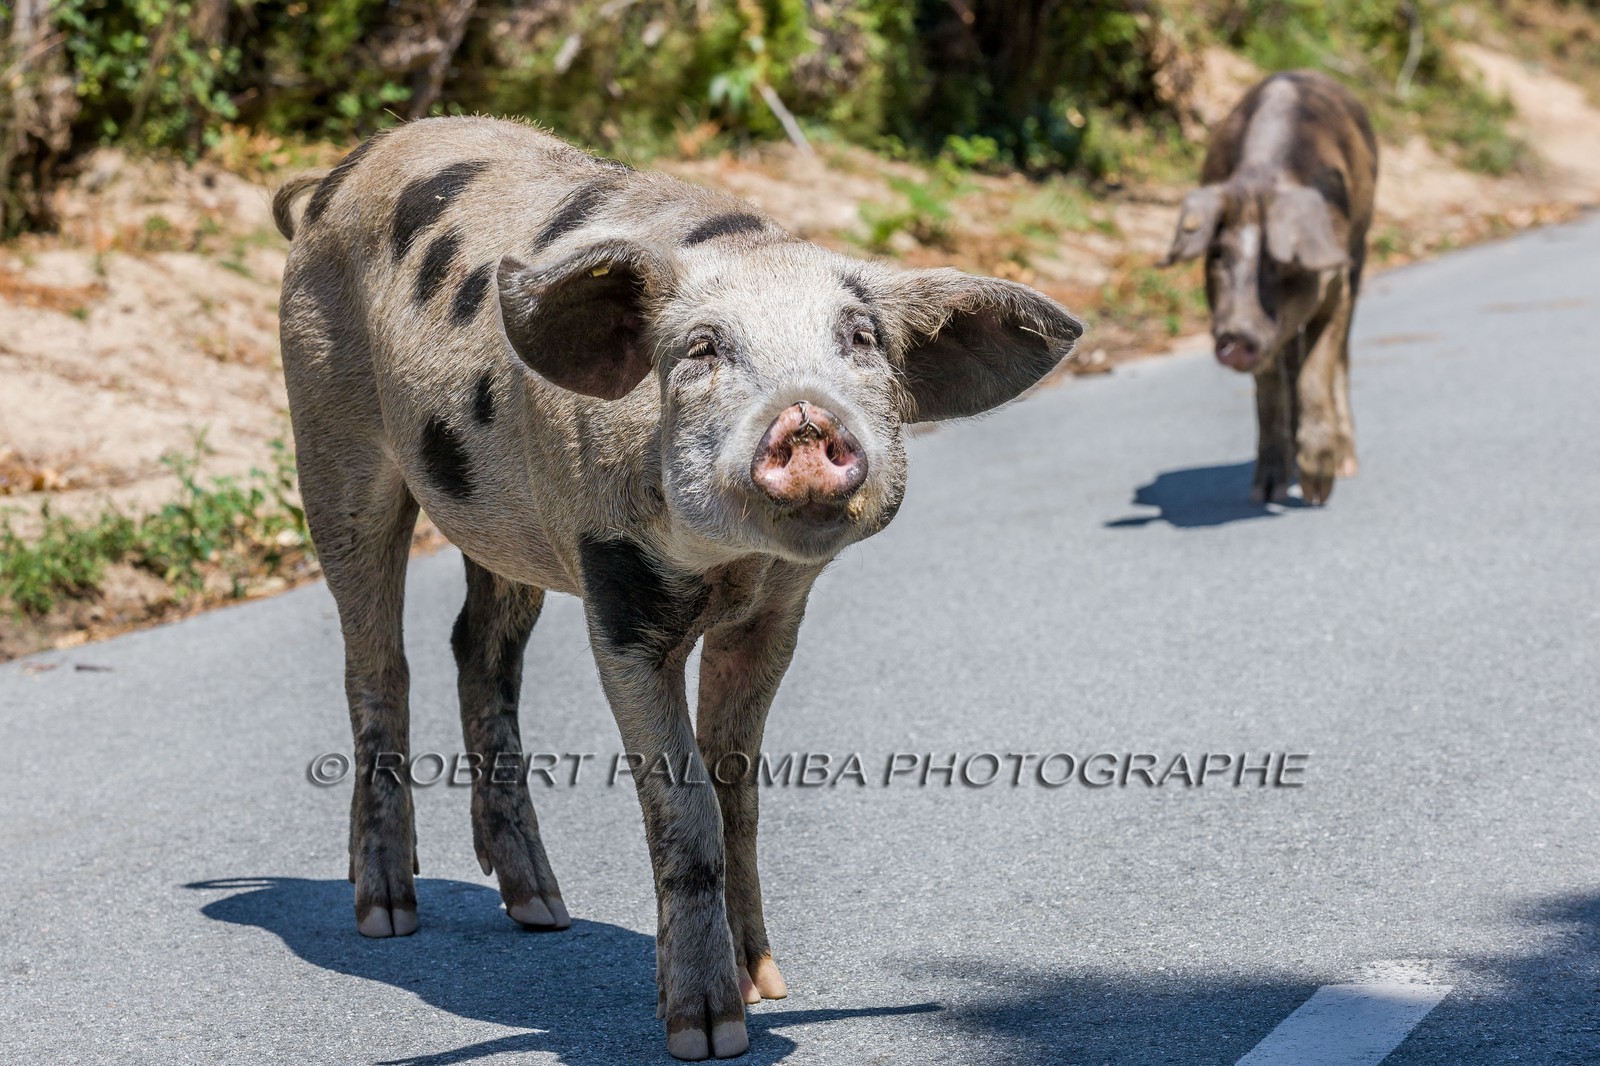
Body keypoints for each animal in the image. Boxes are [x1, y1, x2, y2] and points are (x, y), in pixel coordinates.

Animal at [272, 116, 1081, 1060]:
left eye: (859, 339)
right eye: (701, 348)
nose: (805, 419)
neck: (727, 562)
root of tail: (332, 181)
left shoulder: (775, 613)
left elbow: (739, 795)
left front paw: (767, 986)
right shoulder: (616, 598)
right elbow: (683, 805)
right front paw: (708, 1032)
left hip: (505, 525)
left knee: (479, 650)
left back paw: (541, 910)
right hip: (330, 437)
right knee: (377, 662)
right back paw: (387, 914)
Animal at [1161, 70, 1377, 505]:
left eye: (1278, 263)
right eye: (1218, 256)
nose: (1234, 336)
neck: (1262, 179)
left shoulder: (1337, 283)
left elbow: (1318, 370)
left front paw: (1317, 492)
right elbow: (1270, 388)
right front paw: (1265, 493)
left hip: (1361, 246)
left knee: (1340, 357)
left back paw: (1346, 466)